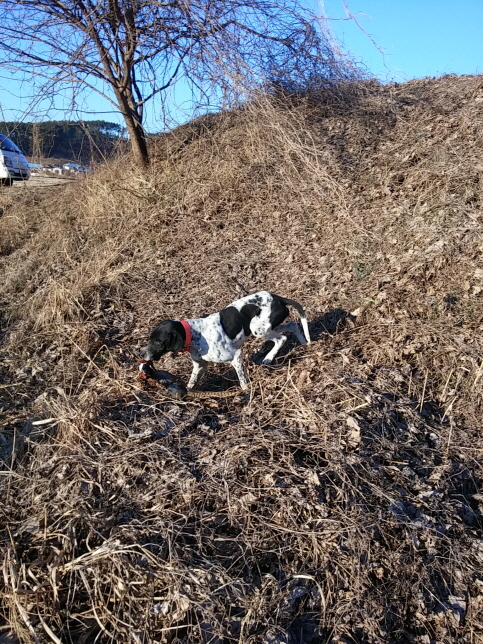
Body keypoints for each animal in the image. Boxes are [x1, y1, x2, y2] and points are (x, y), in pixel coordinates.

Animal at [140, 291, 311, 390]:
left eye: (158, 342)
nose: (141, 353)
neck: (194, 334)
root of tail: (278, 298)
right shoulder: (200, 365)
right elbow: (191, 384)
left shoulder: (236, 356)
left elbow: (243, 381)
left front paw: (247, 394)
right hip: (268, 326)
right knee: (293, 325)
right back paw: (305, 343)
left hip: (258, 329)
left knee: (282, 338)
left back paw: (268, 358)